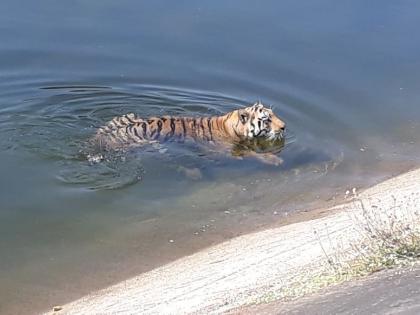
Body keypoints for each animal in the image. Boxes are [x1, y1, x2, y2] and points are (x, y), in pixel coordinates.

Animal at [92, 102, 286, 167]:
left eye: (273, 114)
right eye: (267, 119)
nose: (284, 127)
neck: (229, 125)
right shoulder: (226, 150)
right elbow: (252, 153)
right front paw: (274, 160)